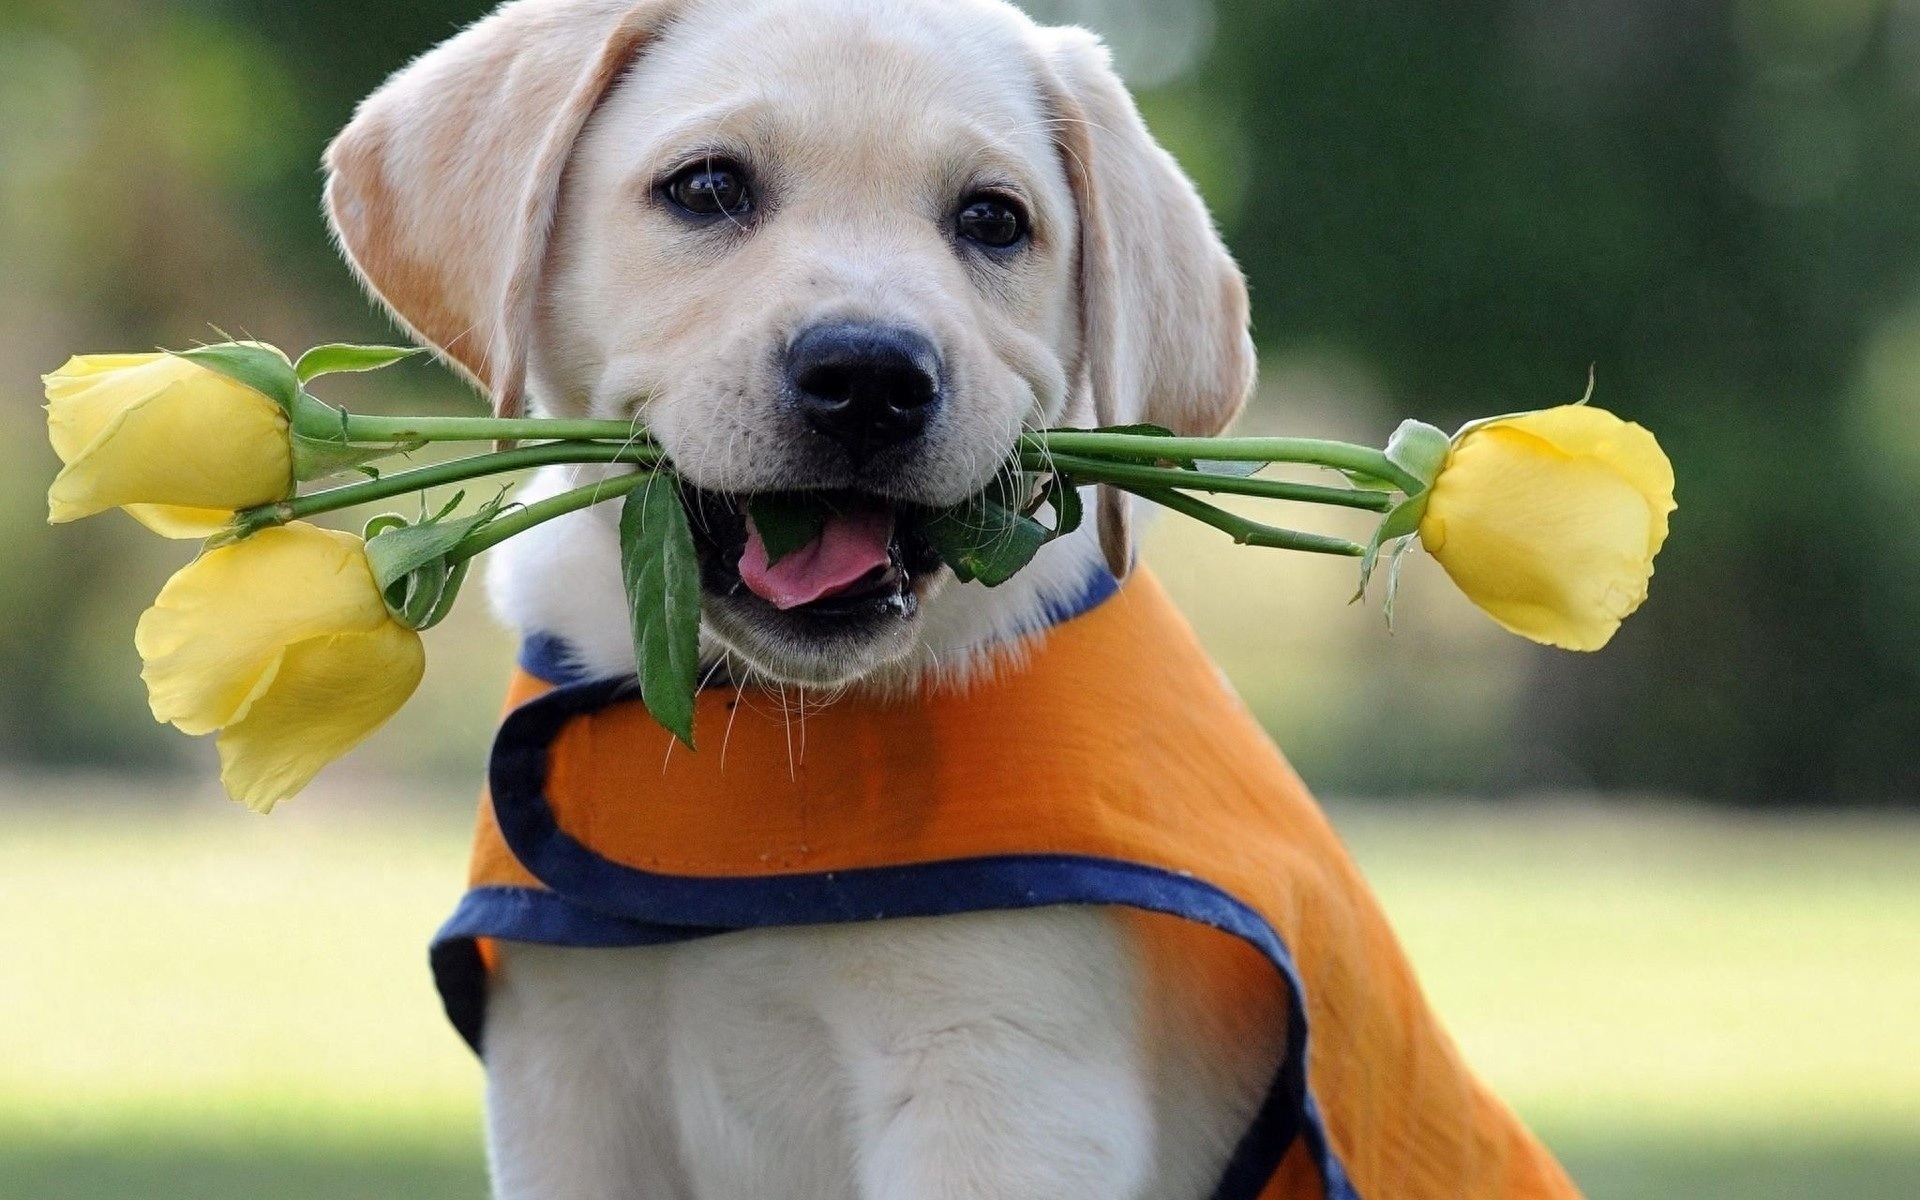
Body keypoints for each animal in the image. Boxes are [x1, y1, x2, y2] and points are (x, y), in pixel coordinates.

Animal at [318, 2, 1574, 1198]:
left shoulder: (1004, 1090)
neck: (766, 725)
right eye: (708, 188)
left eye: (993, 221)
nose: (871, 377)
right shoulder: (564, 1079)